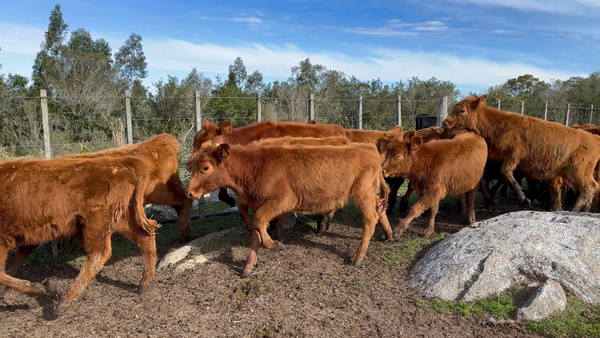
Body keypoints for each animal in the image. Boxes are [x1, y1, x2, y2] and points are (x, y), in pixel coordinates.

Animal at [0, 155, 159, 314]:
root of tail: (124, 167)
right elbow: (12, 266)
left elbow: (2, 272)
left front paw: (40, 289)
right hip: (122, 219)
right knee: (144, 237)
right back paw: (144, 285)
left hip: (97, 223)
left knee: (99, 253)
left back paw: (63, 303)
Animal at [188, 139, 394, 278]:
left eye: (205, 168)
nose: (189, 193)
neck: (258, 165)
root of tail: (369, 148)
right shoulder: (258, 204)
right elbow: (256, 231)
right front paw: (248, 266)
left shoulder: (281, 200)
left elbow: (259, 222)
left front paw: (274, 244)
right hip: (369, 195)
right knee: (380, 211)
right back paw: (389, 235)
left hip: (363, 194)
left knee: (370, 219)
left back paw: (359, 256)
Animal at [440, 94, 600, 211]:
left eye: (462, 111)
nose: (444, 122)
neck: (501, 125)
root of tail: (594, 138)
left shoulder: (514, 155)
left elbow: (506, 173)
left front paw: (523, 197)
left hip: (578, 171)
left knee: (590, 187)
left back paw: (575, 209)